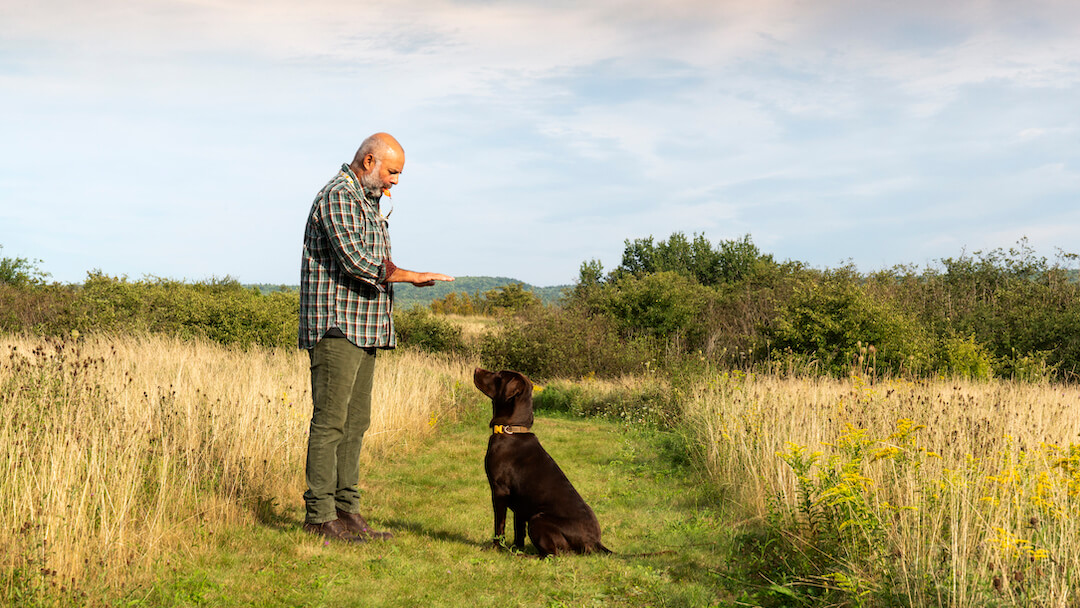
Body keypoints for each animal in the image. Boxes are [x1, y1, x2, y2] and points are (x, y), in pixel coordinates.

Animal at [470, 369, 609, 557]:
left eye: (498, 375)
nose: (476, 369)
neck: (512, 429)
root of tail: (595, 542)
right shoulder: (520, 505)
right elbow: (518, 530)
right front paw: (516, 549)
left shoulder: (500, 491)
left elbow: (499, 525)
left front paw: (495, 548)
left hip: (538, 519)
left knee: (553, 554)